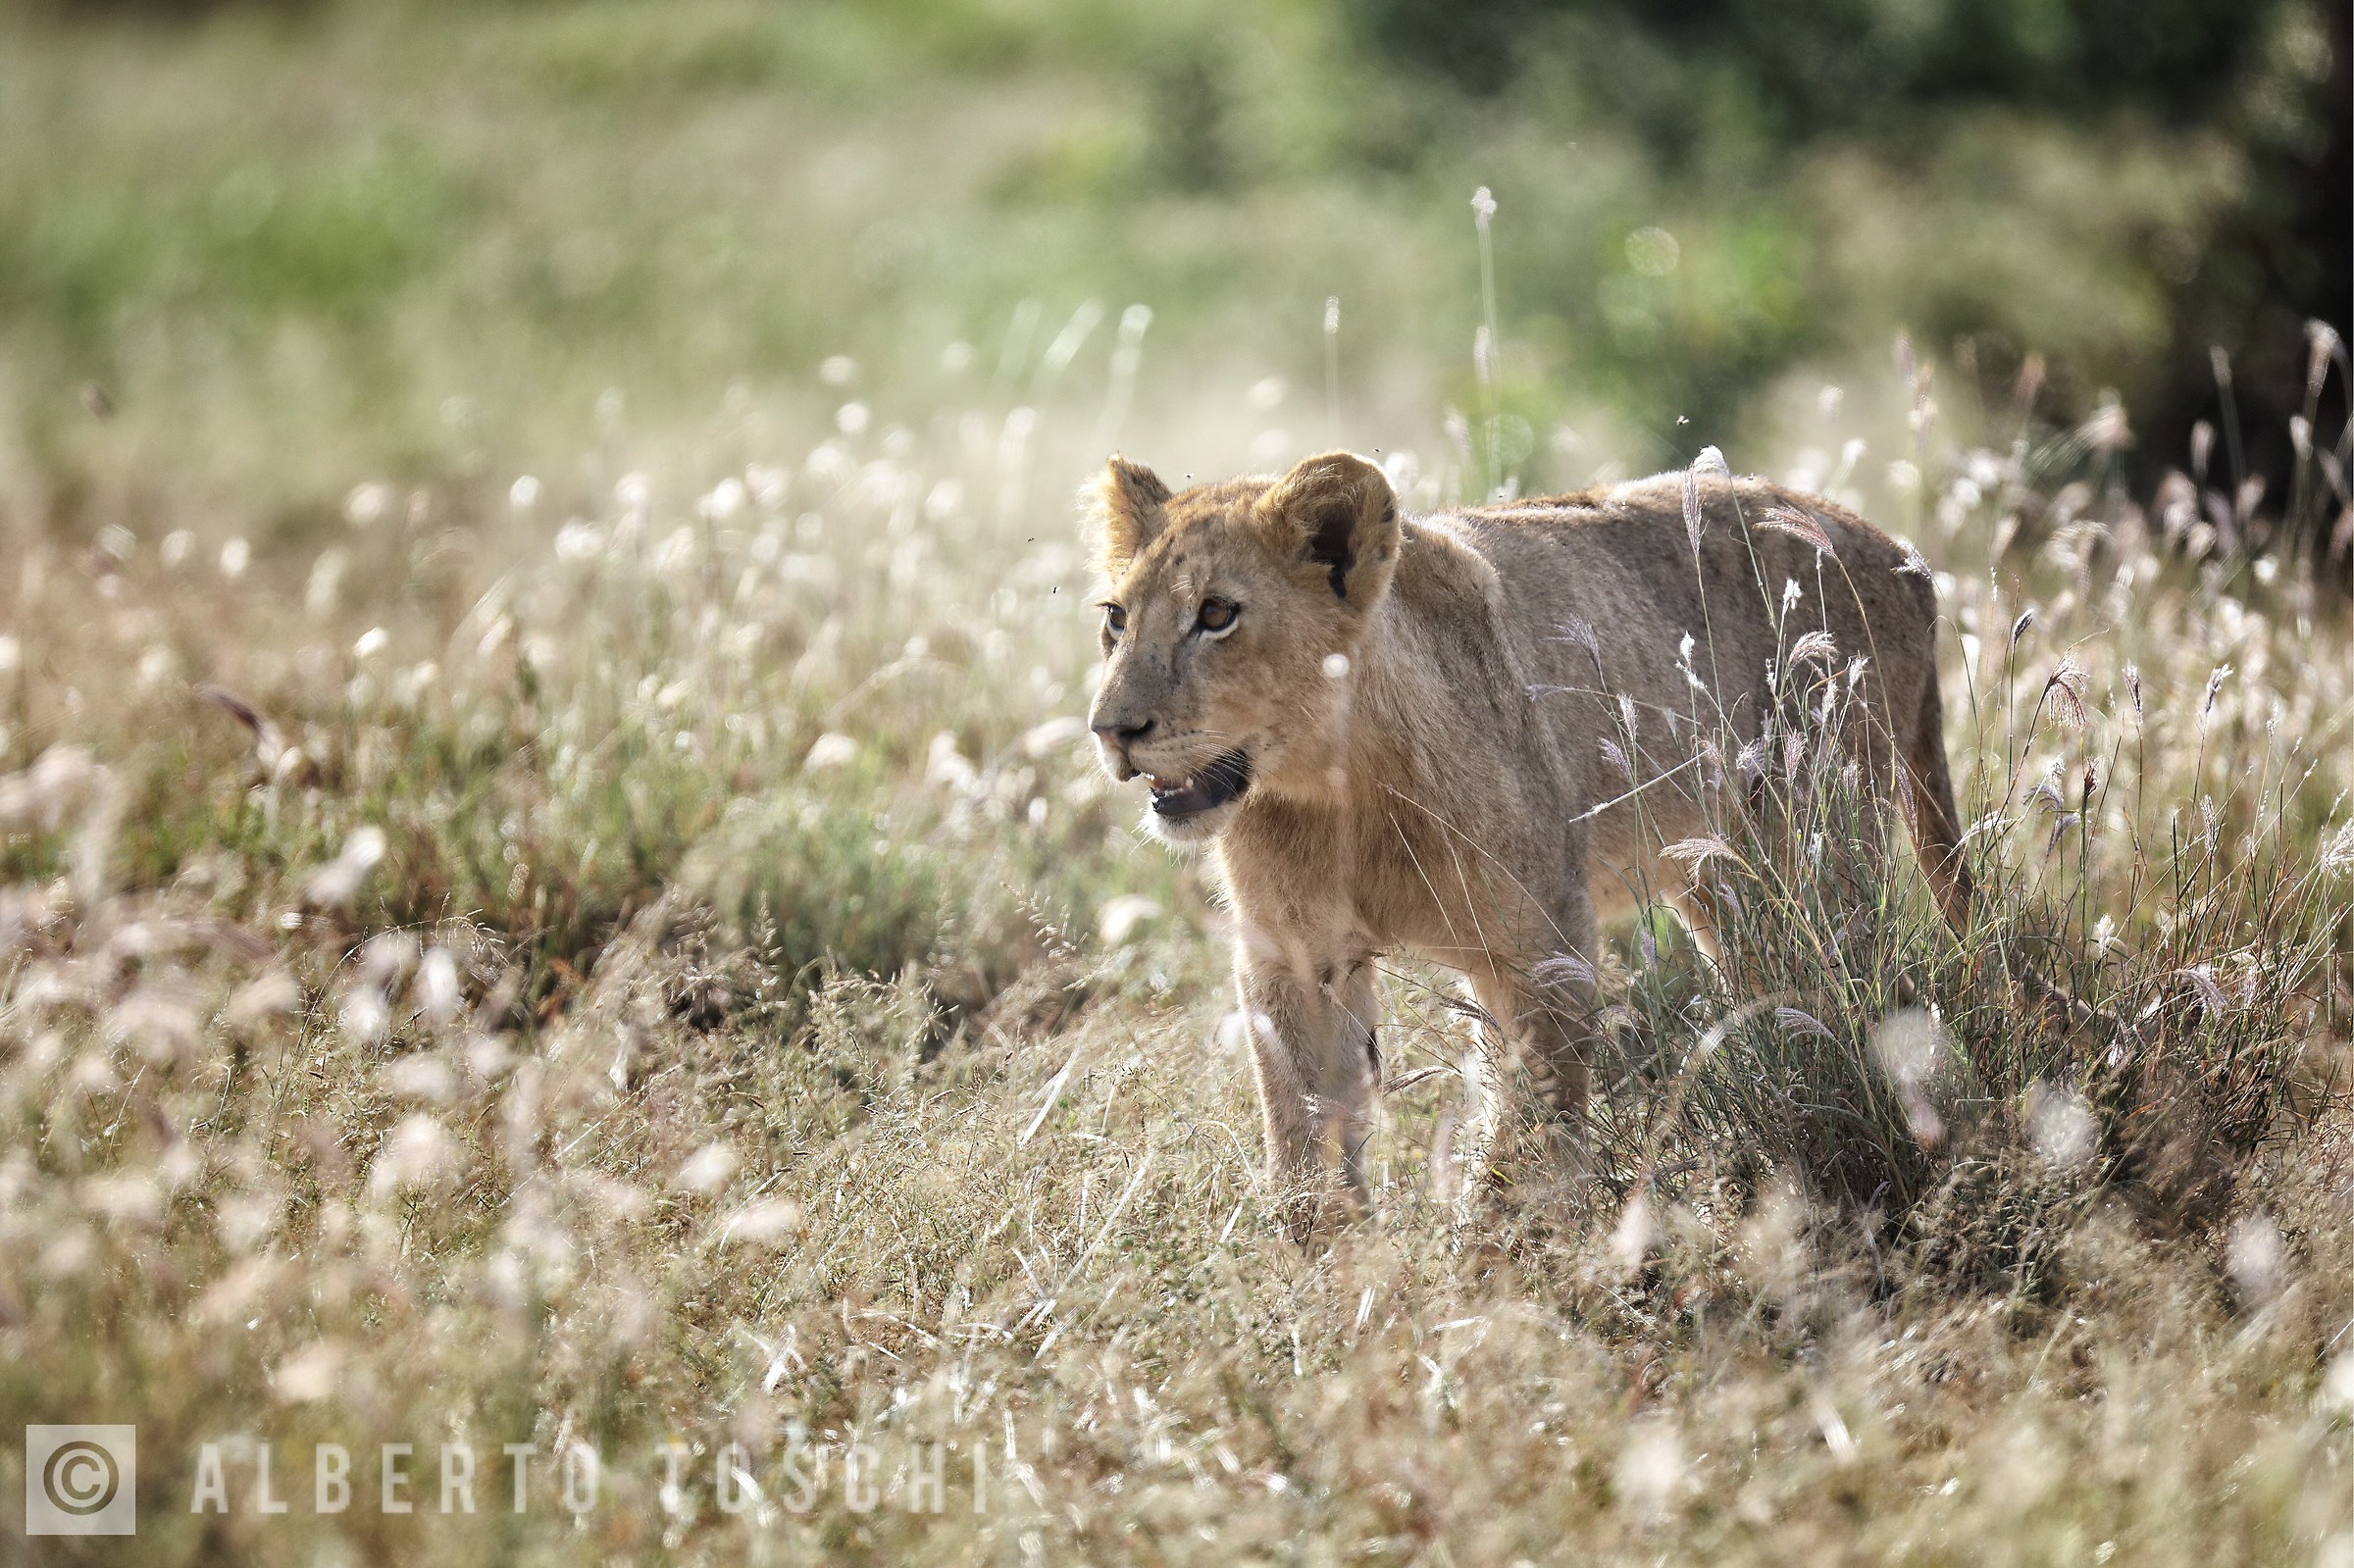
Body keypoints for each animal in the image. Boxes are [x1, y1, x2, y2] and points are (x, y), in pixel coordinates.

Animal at [1083, 450, 1966, 1240]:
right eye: (1116, 619)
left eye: (1216, 614)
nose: (1111, 729)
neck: (1337, 785)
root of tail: (1900, 555)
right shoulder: (1294, 956)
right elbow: (1302, 1115)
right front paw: (1324, 1264)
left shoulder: (1541, 942)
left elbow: (1531, 1123)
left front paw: (1497, 1261)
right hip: (1721, 877)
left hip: (1820, 840)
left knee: (1863, 992)